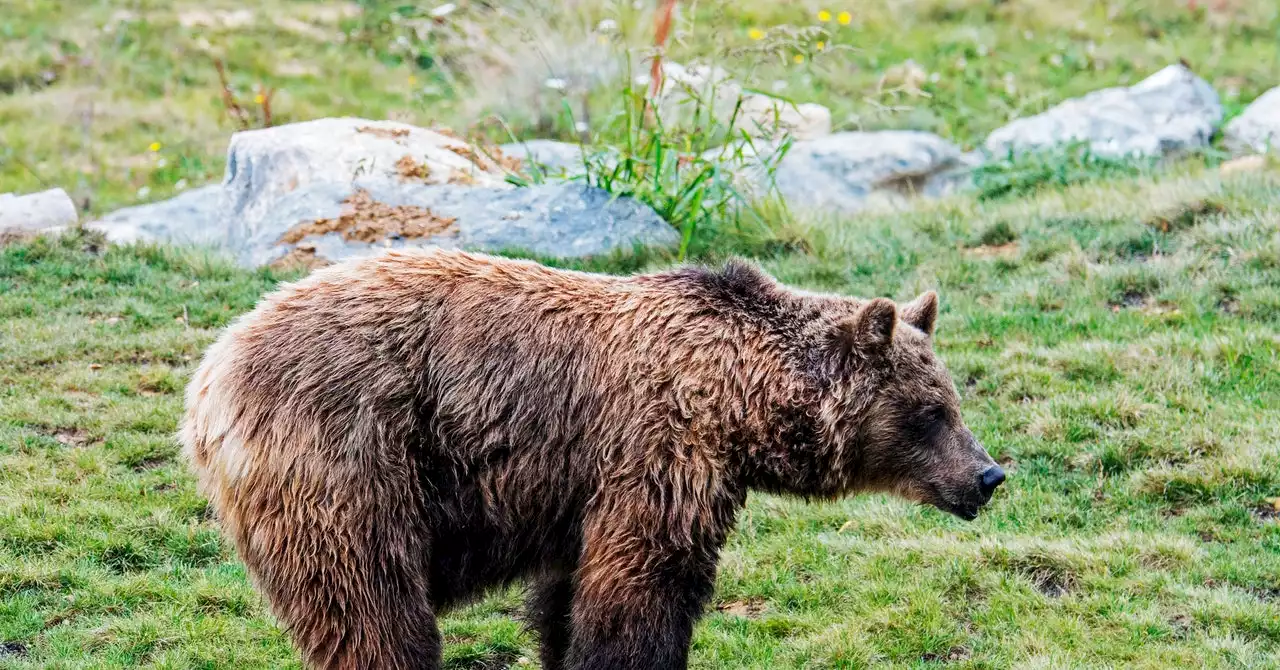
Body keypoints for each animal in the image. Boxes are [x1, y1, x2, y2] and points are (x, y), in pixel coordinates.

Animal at [177, 249, 998, 670]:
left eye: (951, 401)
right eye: (932, 413)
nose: (988, 475)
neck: (739, 401)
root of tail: (210, 374)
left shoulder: (582, 488)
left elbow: (568, 598)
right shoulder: (657, 455)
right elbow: (641, 593)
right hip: (350, 456)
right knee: (371, 606)